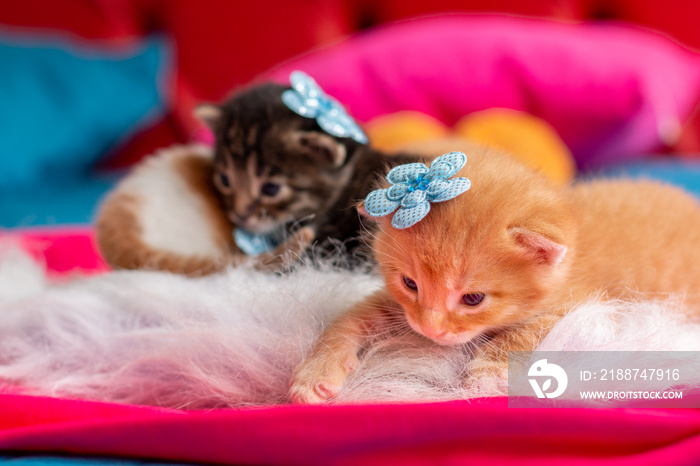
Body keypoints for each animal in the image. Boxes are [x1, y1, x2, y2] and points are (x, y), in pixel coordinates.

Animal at [288, 147, 700, 404]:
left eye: (473, 299)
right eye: (410, 284)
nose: (430, 331)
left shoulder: (589, 305)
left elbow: (522, 332)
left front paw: (485, 374)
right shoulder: (401, 309)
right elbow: (350, 318)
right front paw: (314, 372)